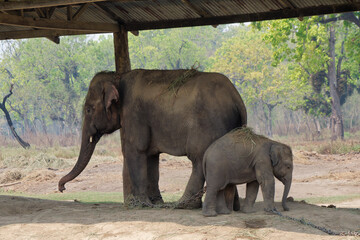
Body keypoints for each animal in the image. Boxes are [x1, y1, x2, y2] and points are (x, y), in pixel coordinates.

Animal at [58, 69, 248, 208]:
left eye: (88, 109)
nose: (61, 188)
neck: (117, 76)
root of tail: (237, 98)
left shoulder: (134, 114)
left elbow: (134, 150)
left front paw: (142, 203)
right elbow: (150, 157)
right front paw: (156, 202)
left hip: (208, 125)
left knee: (199, 159)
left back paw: (184, 205)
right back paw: (232, 207)